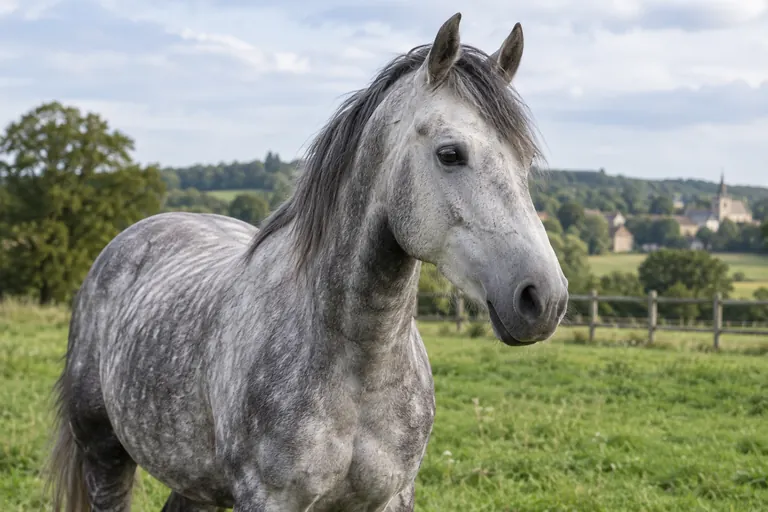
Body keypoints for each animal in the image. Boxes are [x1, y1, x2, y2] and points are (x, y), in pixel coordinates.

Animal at [46, 12, 568, 512]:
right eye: (450, 153)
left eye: (525, 163)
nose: (544, 298)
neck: (359, 363)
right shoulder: (268, 498)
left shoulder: (393, 496)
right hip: (105, 456)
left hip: (194, 480)